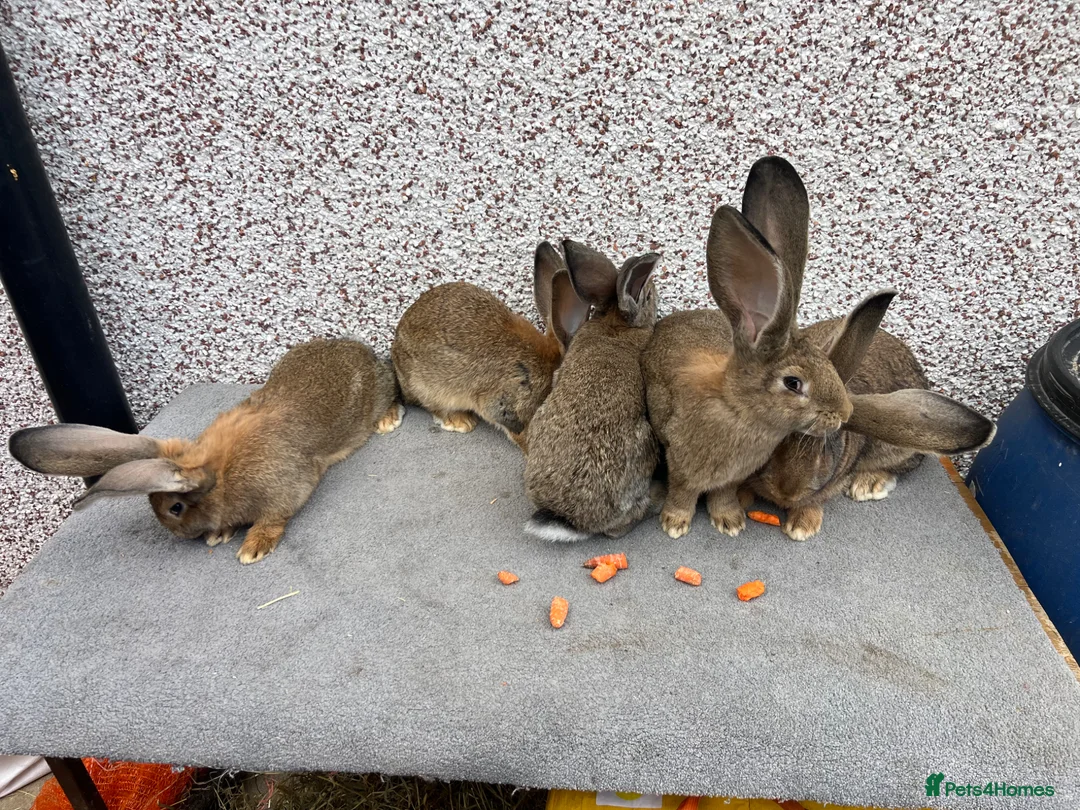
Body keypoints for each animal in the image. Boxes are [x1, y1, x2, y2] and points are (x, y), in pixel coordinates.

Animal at [9, 338, 402, 564]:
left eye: (175, 508)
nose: (178, 535)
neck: (219, 474)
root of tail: (367, 352)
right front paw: (220, 534)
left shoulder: (285, 491)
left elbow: (274, 519)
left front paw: (252, 548)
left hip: (378, 394)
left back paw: (387, 419)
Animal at [524, 239, 662, 541]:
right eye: (646, 296)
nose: (655, 294)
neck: (615, 323)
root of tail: (572, 520)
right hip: (644, 445)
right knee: (618, 530)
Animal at [642, 155, 897, 539]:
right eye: (793, 383)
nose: (844, 413)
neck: (738, 409)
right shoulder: (680, 463)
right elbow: (682, 493)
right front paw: (675, 525)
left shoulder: (730, 479)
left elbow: (722, 495)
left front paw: (731, 521)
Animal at [739, 323, 996, 540]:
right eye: (777, 442)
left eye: (824, 450)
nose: (786, 493)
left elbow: (817, 499)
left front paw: (802, 527)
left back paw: (869, 484)